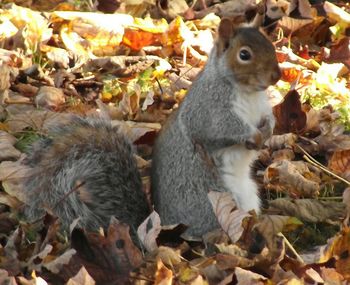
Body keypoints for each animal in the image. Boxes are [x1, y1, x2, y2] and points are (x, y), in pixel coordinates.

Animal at [151, 16, 282, 236]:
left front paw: (269, 130)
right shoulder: (209, 112)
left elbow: (269, 118)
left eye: (270, 44)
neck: (248, 92)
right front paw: (255, 136)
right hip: (210, 199)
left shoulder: (262, 108)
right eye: (244, 55)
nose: (276, 75)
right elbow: (224, 128)